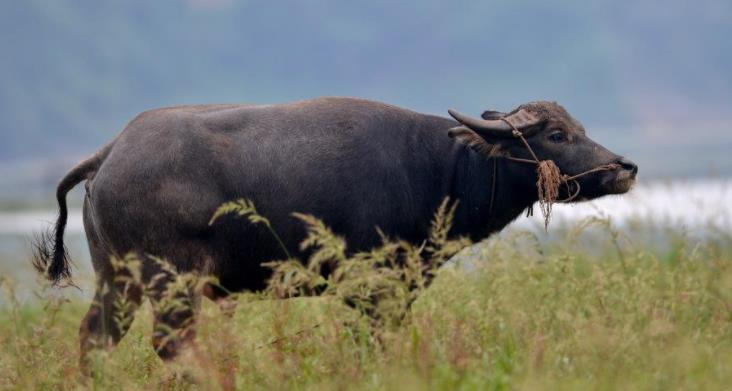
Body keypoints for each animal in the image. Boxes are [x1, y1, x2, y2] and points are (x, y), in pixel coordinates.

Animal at [34, 97, 636, 364]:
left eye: (579, 127)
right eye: (556, 134)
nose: (624, 167)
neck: (435, 168)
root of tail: (110, 153)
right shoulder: (374, 289)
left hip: (118, 281)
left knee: (95, 339)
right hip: (171, 285)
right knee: (172, 346)